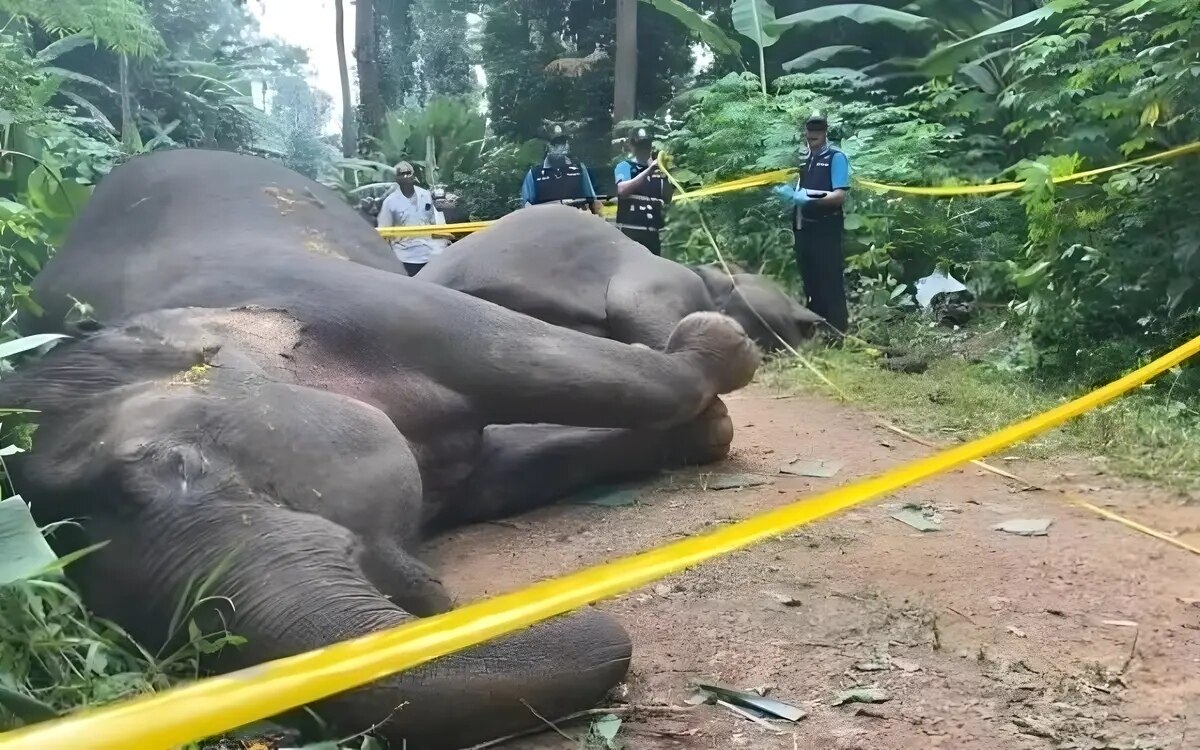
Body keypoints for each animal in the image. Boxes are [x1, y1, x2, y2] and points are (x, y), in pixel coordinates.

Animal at [4, 149, 758, 744]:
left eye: (176, 464)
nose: (589, 615)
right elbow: (504, 466)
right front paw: (708, 416)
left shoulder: (347, 301)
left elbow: (526, 357)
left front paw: (719, 349)